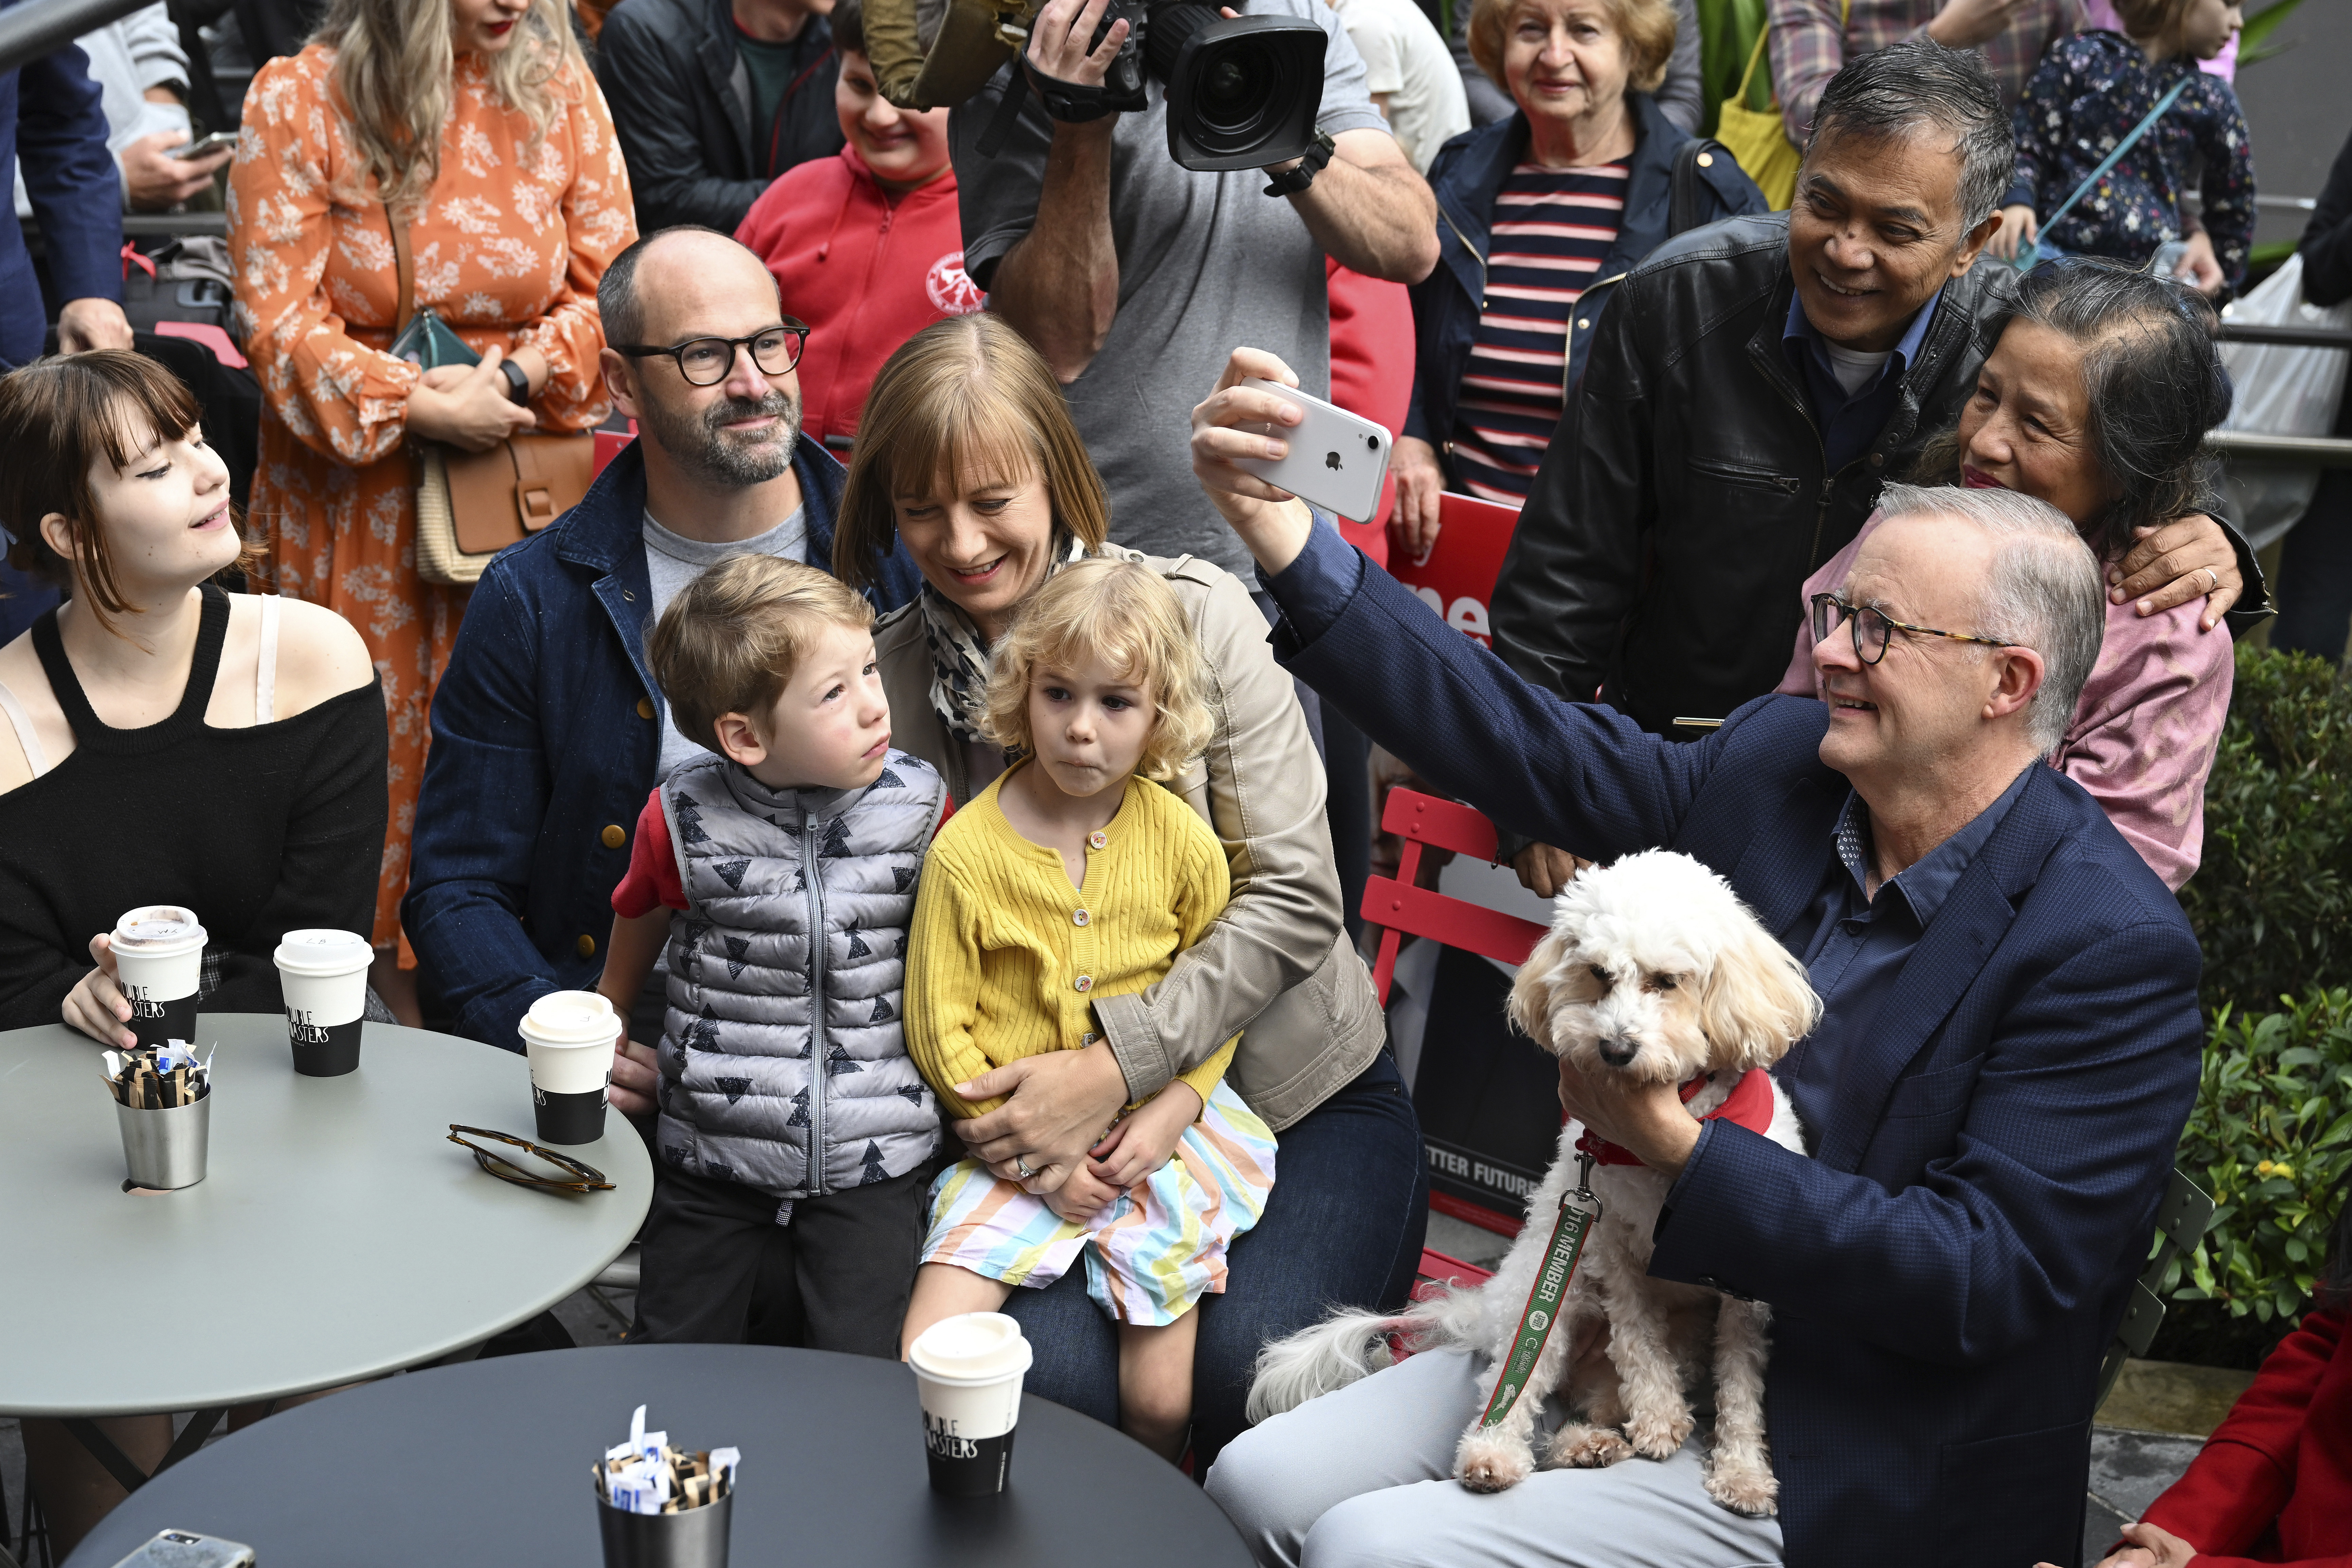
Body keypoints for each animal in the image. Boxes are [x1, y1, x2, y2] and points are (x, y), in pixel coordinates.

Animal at [1251, 851, 1815, 1514]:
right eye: (1598, 973)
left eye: (1666, 981)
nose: (1614, 1047)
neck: (1669, 1148)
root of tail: (1484, 1305)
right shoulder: (1608, 1246)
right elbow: (1637, 1339)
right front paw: (1659, 1415)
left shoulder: (1744, 1285)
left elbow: (1741, 1381)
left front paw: (1742, 1471)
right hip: (1551, 1294)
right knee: (1521, 1380)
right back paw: (1501, 1451)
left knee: (1593, 1398)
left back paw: (1589, 1442)